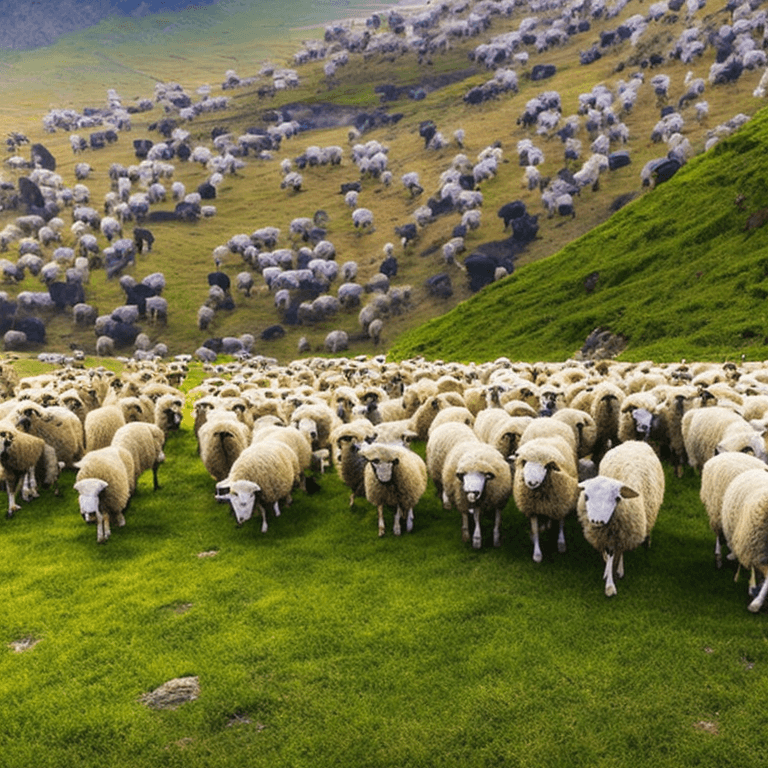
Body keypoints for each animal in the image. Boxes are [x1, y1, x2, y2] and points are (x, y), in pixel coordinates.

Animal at [577, 441, 665, 597]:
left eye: (616, 498)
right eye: (586, 496)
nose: (597, 521)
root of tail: (635, 442)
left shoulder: (622, 532)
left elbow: (616, 555)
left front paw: (610, 584)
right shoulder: (608, 534)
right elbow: (609, 554)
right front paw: (608, 573)